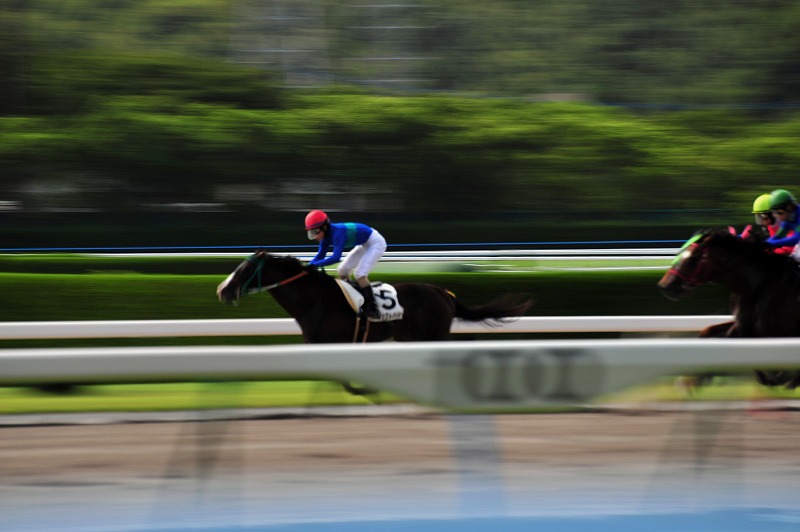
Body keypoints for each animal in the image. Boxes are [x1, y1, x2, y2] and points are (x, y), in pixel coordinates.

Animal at [660, 228, 800, 386]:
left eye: (693, 258)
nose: (665, 286)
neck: (757, 286)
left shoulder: (775, 333)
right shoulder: (744, 325)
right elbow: (710, 332)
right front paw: (693, 379)